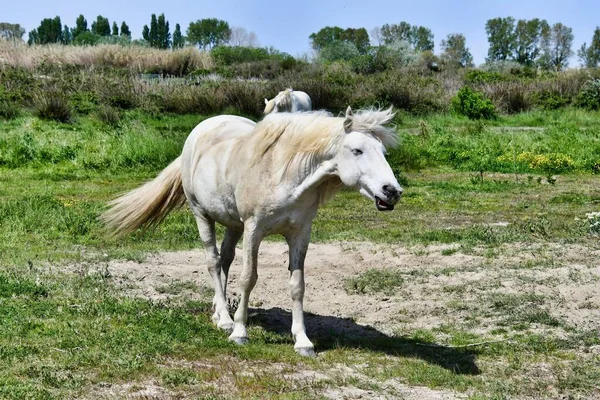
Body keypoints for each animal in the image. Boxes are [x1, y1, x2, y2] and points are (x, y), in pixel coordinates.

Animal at [102, 106, 404, 356]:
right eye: (357, 150)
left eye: (383, 152)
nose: (392, 191)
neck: (284, 175)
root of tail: (200, 131)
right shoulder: (253, 230)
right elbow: (248, 278)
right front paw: (239, 332)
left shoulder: (300, 234)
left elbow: (297, 286)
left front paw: (303, 341)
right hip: (202, 215)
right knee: (213, 262)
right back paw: (225, 319)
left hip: (233, 225)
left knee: (225, 260)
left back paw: (219, 310)